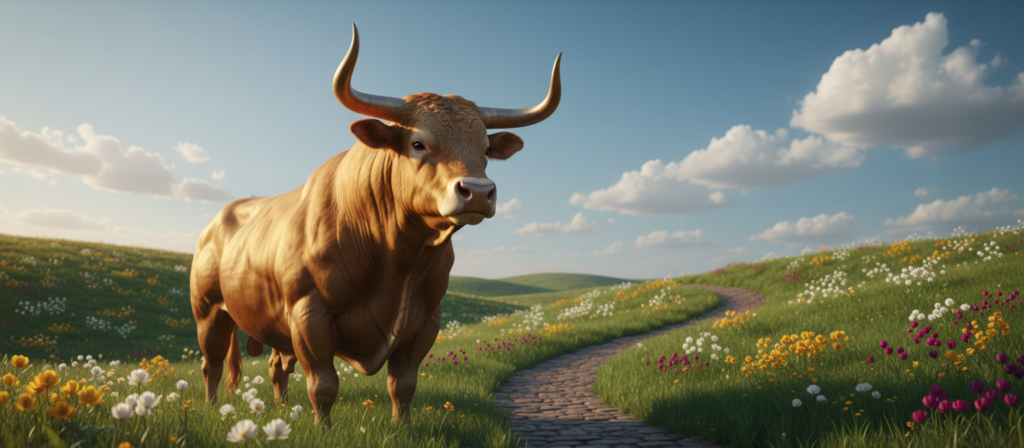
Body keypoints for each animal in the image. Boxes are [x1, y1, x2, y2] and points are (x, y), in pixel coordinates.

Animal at [189, 24, 560, 426]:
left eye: (486, 151)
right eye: (418, 143)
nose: (477, 192)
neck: (398, 258)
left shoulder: (426, 319)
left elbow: (403, 383)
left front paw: (401, 427)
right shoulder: (309, 314)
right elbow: (323, 384)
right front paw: (323, 430)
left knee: (275, 366)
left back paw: (282, 409)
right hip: (209, 312)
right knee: (211, 365)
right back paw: (209, 407)